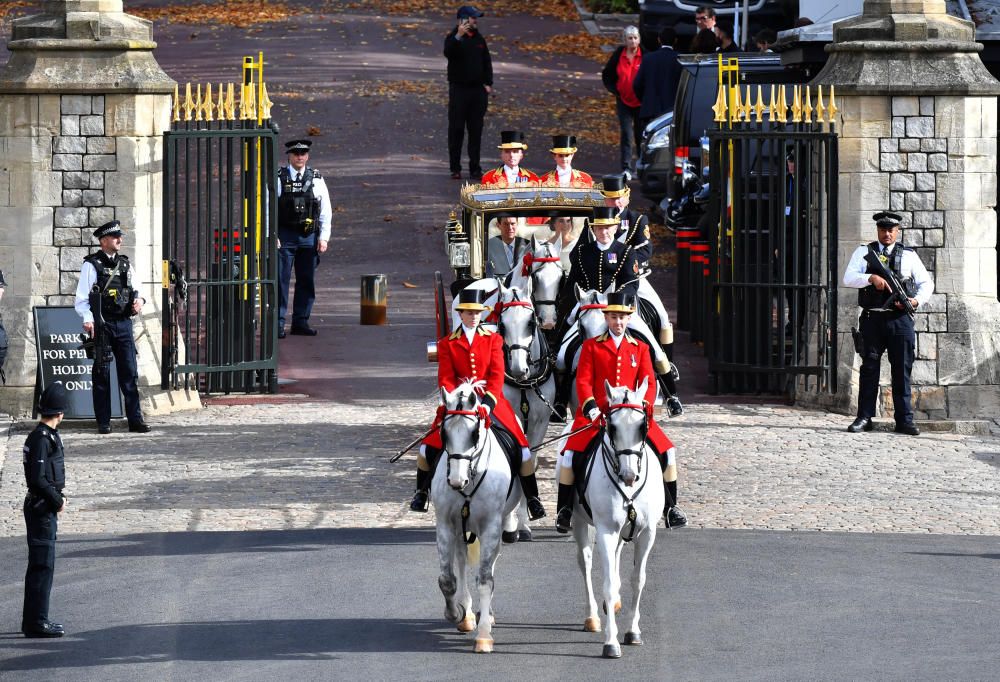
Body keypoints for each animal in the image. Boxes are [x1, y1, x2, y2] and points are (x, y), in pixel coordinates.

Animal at [560, 378, 668, 660]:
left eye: (642, 426)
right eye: (612, 426)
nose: (629, 476)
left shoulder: (647, 532)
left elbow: (638, 580)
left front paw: (632, 631)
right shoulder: (606, 530)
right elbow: (607, 582)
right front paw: (611, 642)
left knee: (618, 558)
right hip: (579, 522)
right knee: (585, 563)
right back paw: (592, 617)